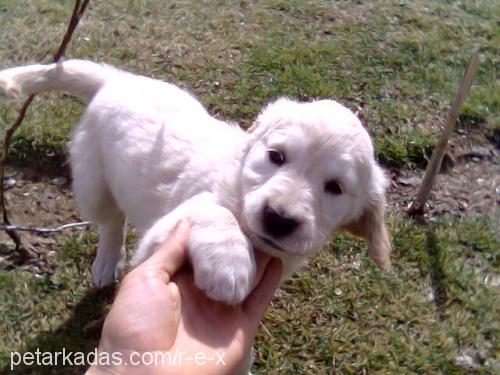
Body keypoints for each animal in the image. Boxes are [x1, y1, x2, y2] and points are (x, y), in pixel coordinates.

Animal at [0, 59, 390, 306]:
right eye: (276, 156)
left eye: (335, 188)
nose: (279, 218)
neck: (239, 189)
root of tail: (115, 81)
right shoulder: (158, 240)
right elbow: (213, 213)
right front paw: (228, 263)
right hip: (92, 180)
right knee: (111, 222)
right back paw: (107, 263)